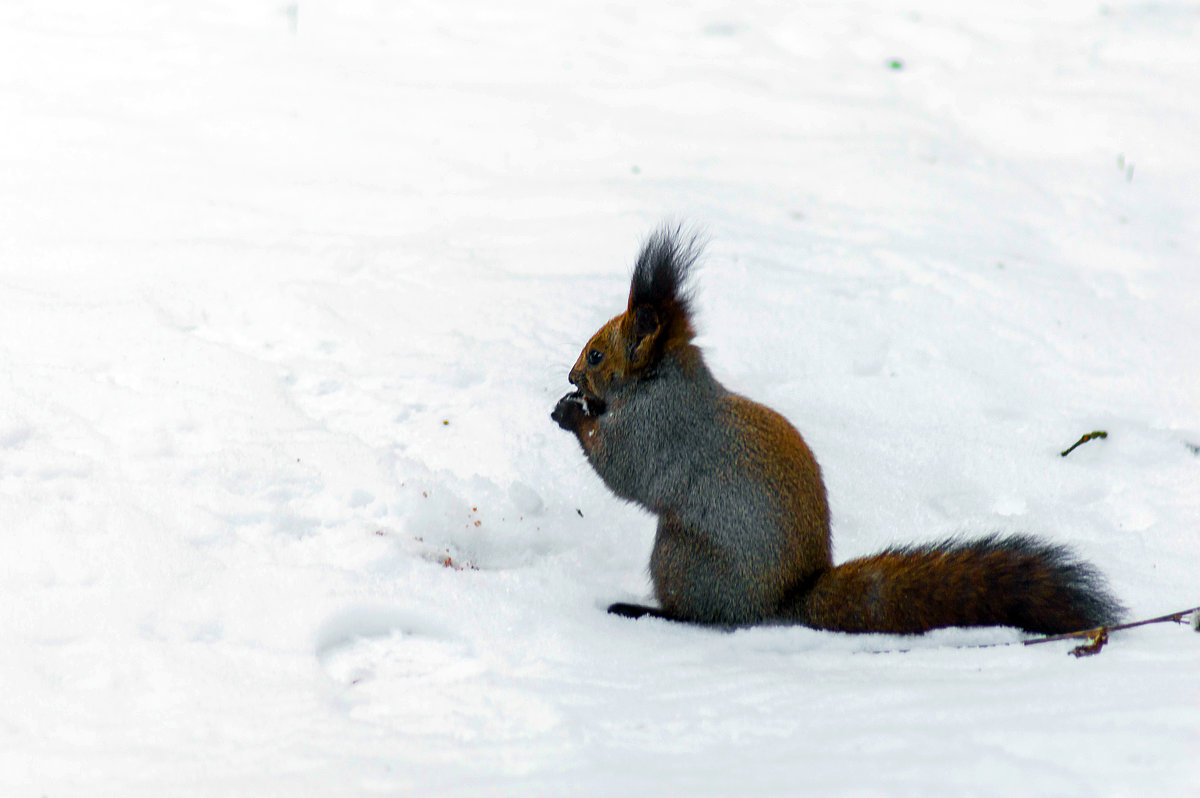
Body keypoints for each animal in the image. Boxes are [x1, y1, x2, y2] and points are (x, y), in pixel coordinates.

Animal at [552, 225, 1123, 633]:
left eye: (597, 354)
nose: (572, 376)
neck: (661, 382)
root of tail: (787, 600)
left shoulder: (661, 427)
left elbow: (624, 468)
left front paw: (572, 413)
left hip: (679, 555)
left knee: (703, 616)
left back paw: (646, 611)